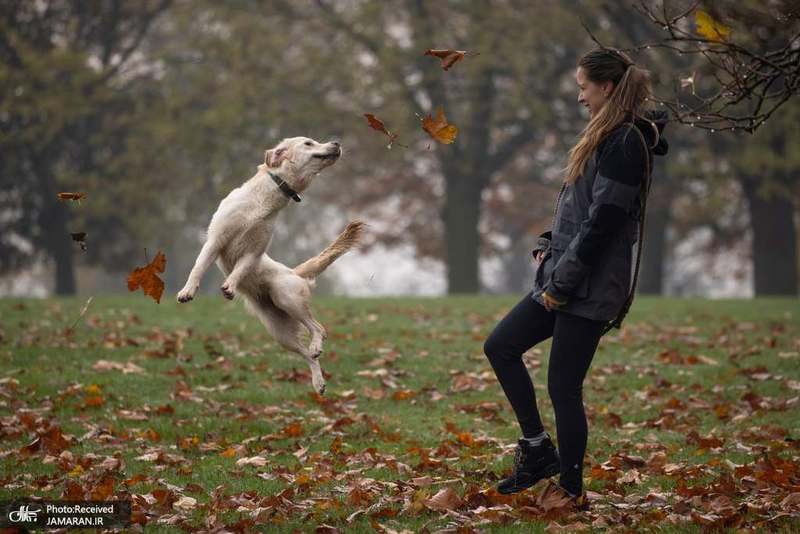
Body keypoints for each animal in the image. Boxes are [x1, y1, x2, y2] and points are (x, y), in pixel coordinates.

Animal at [178, 137, 366, 398]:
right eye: (308, 143)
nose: (336, 142)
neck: (263, 201)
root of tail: (294, 272)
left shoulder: (253, 252)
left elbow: (239, 271)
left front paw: (230, 286)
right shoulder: (215, 241)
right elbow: (197, 268)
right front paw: (187, 291)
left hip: (286, 297)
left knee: (319, 329)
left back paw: (317, 347)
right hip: (280, 331)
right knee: (308, 354)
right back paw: (318, 381)